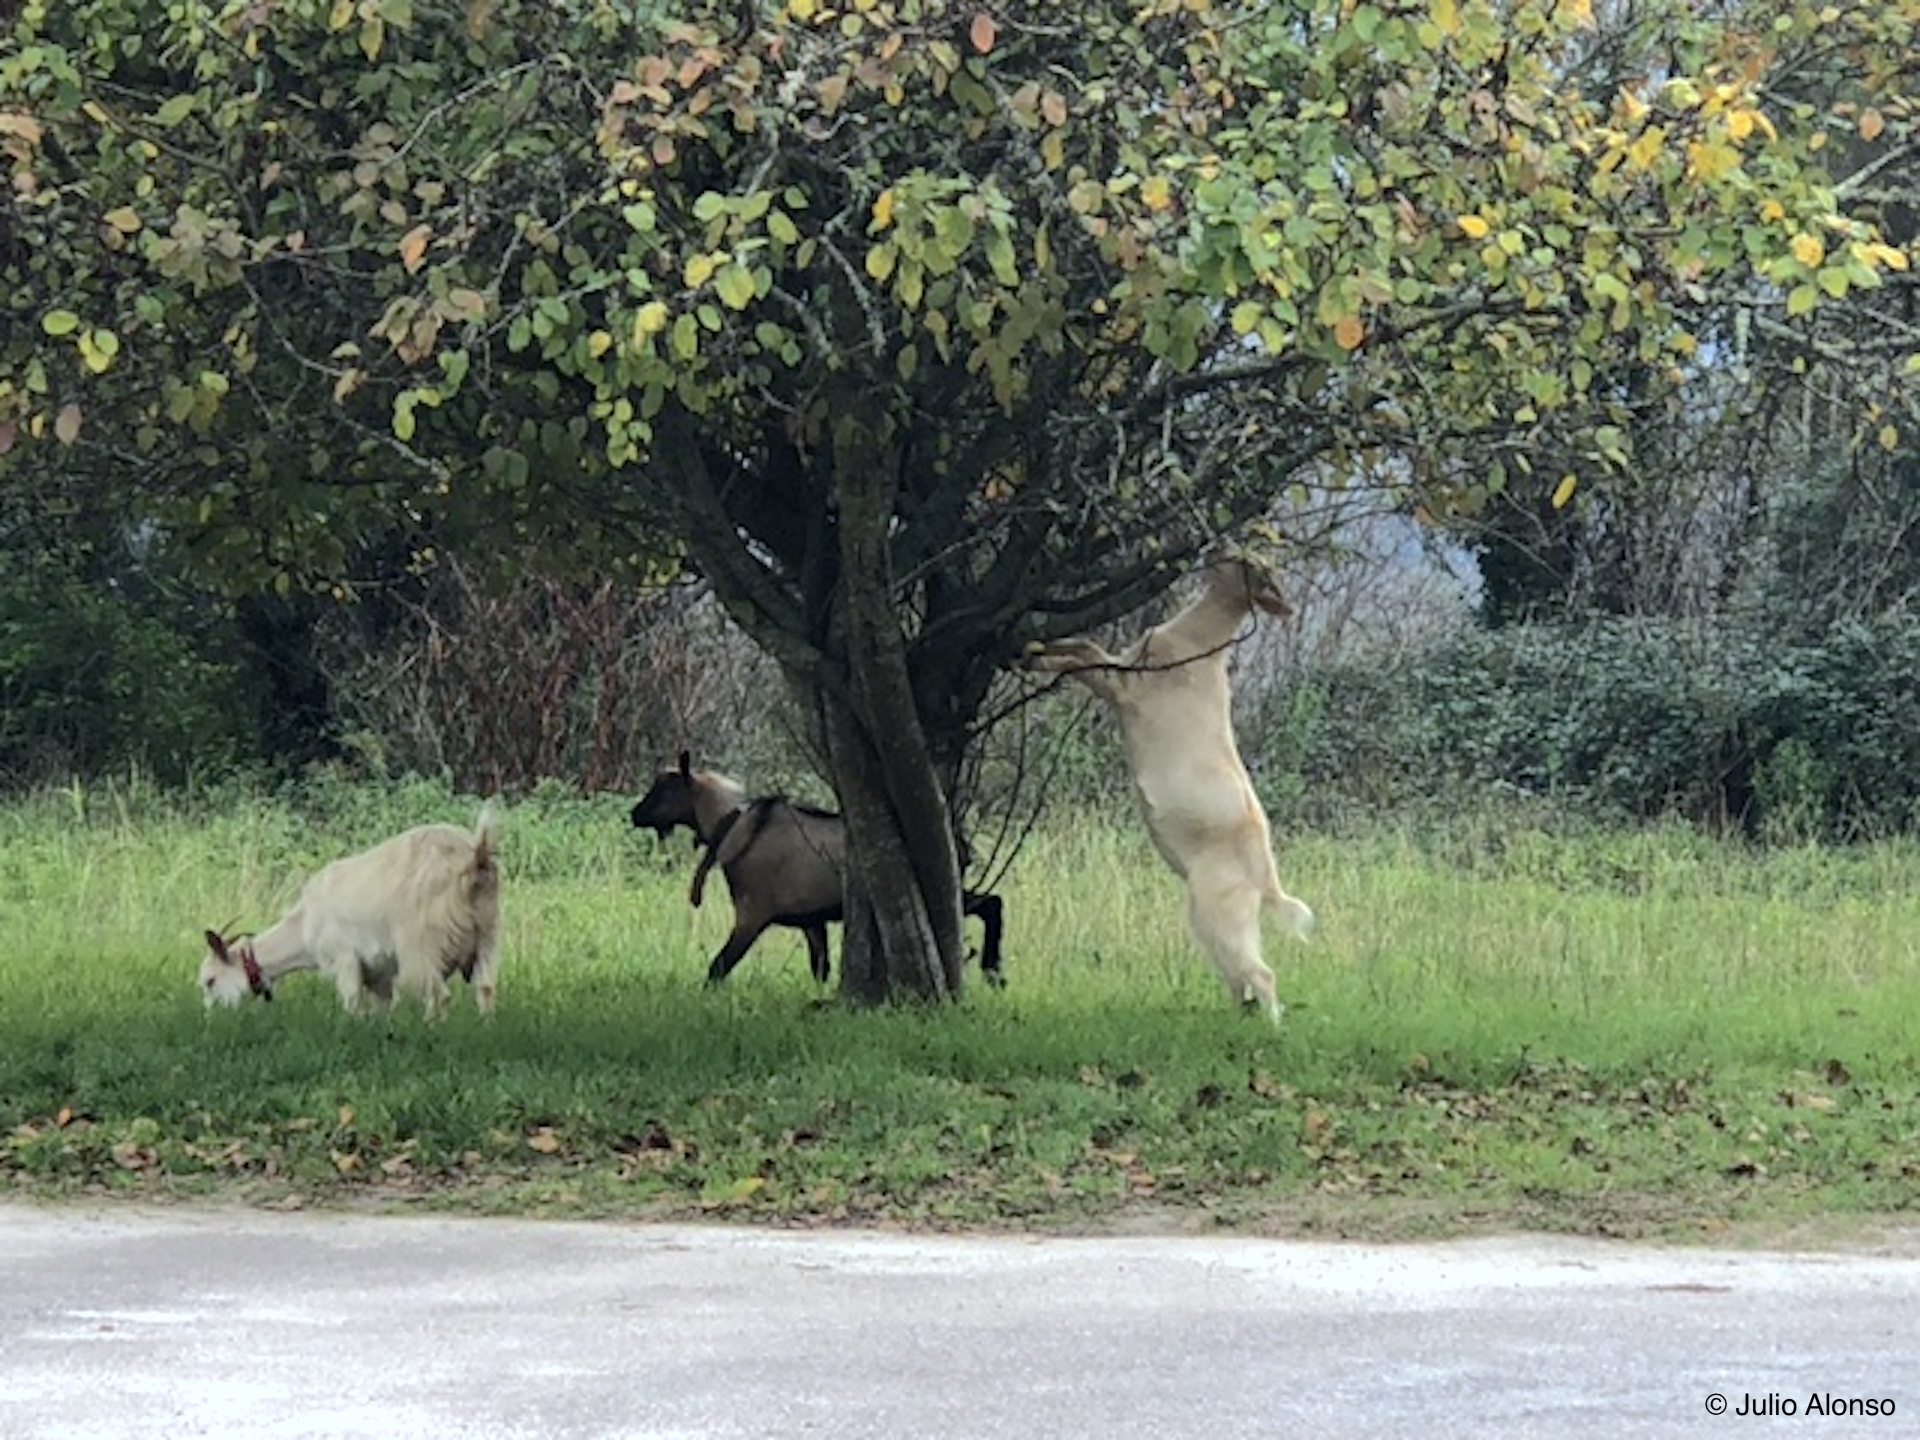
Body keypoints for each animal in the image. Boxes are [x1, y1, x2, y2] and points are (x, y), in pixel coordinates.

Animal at [199, 806, 501, 1017]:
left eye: (210, 981)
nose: (210, 1017)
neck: (304, 924)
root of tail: (474, 860)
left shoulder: (343, 957)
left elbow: (352, 1003)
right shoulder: (379, 974)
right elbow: (383, 1008)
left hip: (422, 945)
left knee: (438, 995)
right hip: (487, 932)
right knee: (485, 989)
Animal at [629, 752, 1006, 988]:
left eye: (663, 789)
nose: (635, 814)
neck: (736, 828)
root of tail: (960, 843)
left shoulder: (752, 916)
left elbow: (717, 968)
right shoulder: (811, 922)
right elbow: (820, 970)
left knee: (992, 903)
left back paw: (993, 971)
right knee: (992, 903)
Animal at [1025, 552, 1314, 1022]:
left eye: (1248, 562)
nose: (1216, 544)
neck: (1196, 639)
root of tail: (1267, 879)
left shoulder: (1126, 686)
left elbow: (1083, 658)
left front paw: (1032, 660)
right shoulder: (1122, 664)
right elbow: (1084, 646)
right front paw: (1036, 646)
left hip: (1220, 909)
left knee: (1263, 975)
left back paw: (1272, 1026)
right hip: (1215, 919)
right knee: (1240, 975)